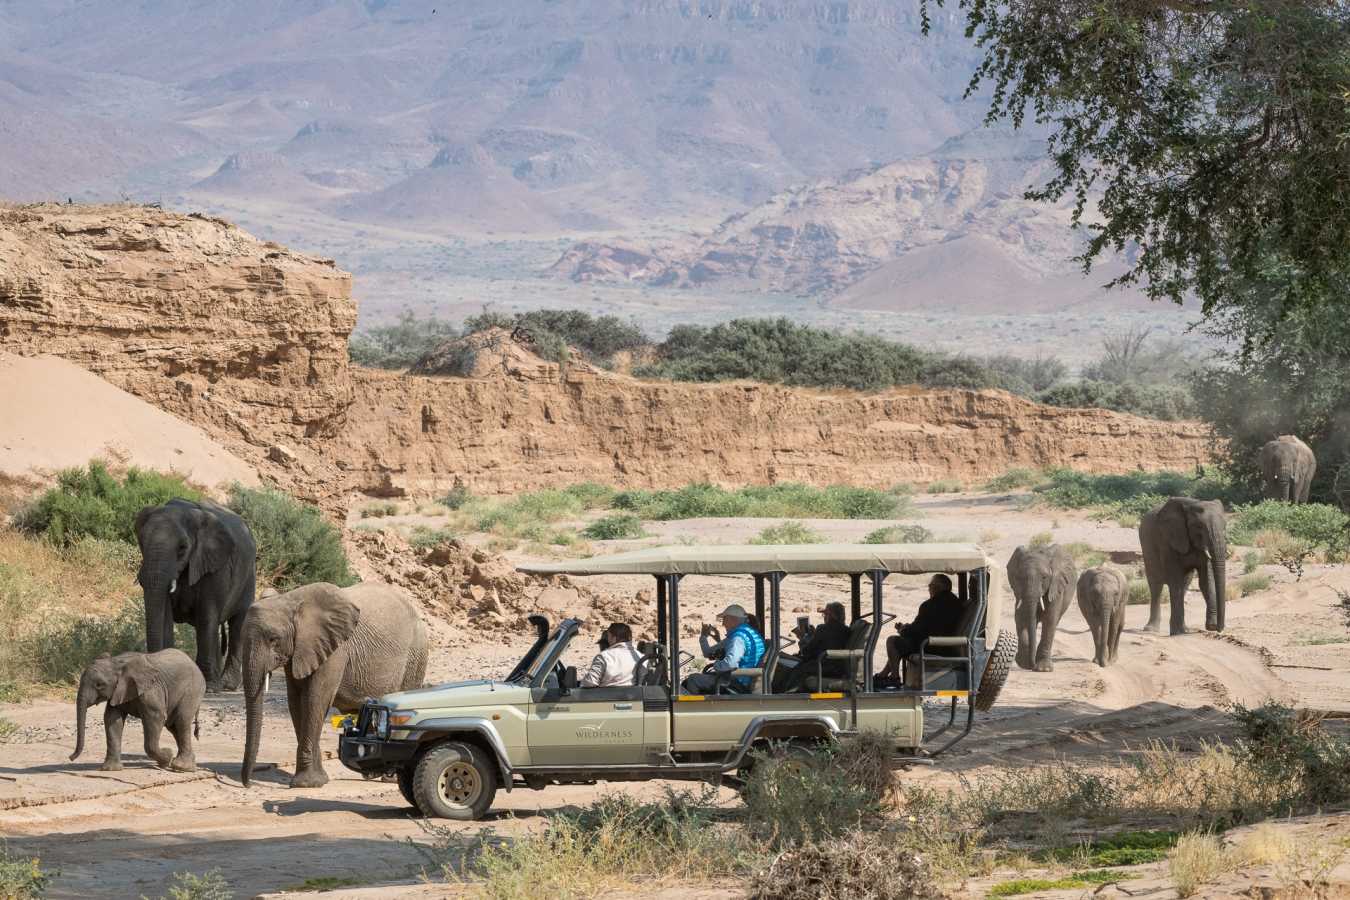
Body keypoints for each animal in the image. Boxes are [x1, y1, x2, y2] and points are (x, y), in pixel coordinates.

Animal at [70, 648, 206, 772]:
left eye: (99, 685)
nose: (71, 758)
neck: (116, 662)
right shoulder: (118, 691)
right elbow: (112, 719)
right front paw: (110, 769)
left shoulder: (151, 690)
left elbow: (155, 717)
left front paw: (167, 755)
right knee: (173, 726)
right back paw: (187, 765)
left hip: (192, 690)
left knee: (181, 721)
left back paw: (181, 767)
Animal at [135, 498, 257, 693]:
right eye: (141, 542)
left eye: (182, 548)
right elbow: (166, 617)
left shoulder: (215, 565)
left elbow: (207, 616)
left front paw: (209, 688)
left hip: (249, 577)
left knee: (237, 625)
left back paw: (227, 685)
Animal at [241, 581, 428, 789]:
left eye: (273, 639)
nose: (248, 784)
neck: (291, 600)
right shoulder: (300, 651)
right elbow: (296, 702)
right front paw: (319, 780)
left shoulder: (335, 650)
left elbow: (315, 700)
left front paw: (306, 784)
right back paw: (370, 774)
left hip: (416, 653)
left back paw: (390, 778)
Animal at [1139, 497, 1228, 635]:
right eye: (1198, 526)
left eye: (1225, 526)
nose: (1219, 629)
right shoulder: (1168, 540)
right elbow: (1175, 581)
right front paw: (1177, 632)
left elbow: (1206, 581)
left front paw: (1211, 626)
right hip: (1147, 546)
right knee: (1156, 585)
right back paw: (1151, 629)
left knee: (1185, 583)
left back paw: (1184, 628)